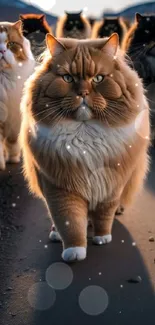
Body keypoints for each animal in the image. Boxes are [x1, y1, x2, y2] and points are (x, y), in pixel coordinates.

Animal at [20, 33, 150, 260]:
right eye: (68, 78)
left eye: (98, 79)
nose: (83, 93)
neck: (84, 134)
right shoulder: (60, 187)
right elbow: (69, 221)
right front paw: (74, 251)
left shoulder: (111, 183)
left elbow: (104, 215)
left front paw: (102, 237)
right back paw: (56, 234)